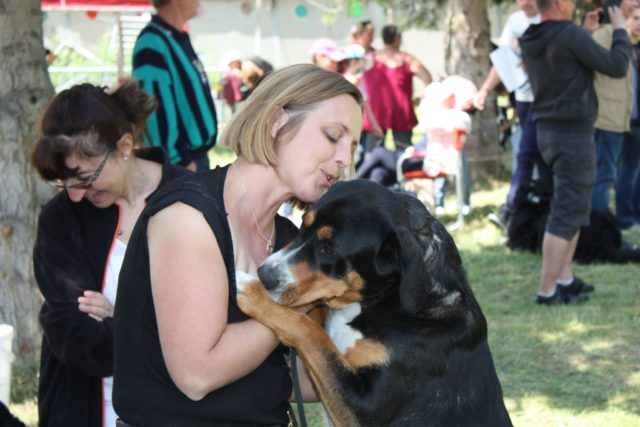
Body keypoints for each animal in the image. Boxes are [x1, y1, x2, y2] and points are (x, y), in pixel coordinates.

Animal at [238, 181, 512, 427]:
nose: (265, 274)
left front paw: (250, 289)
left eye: (330, 250)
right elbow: (315, 327)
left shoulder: (365, 409)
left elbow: (310, 332)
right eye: (303, 225)